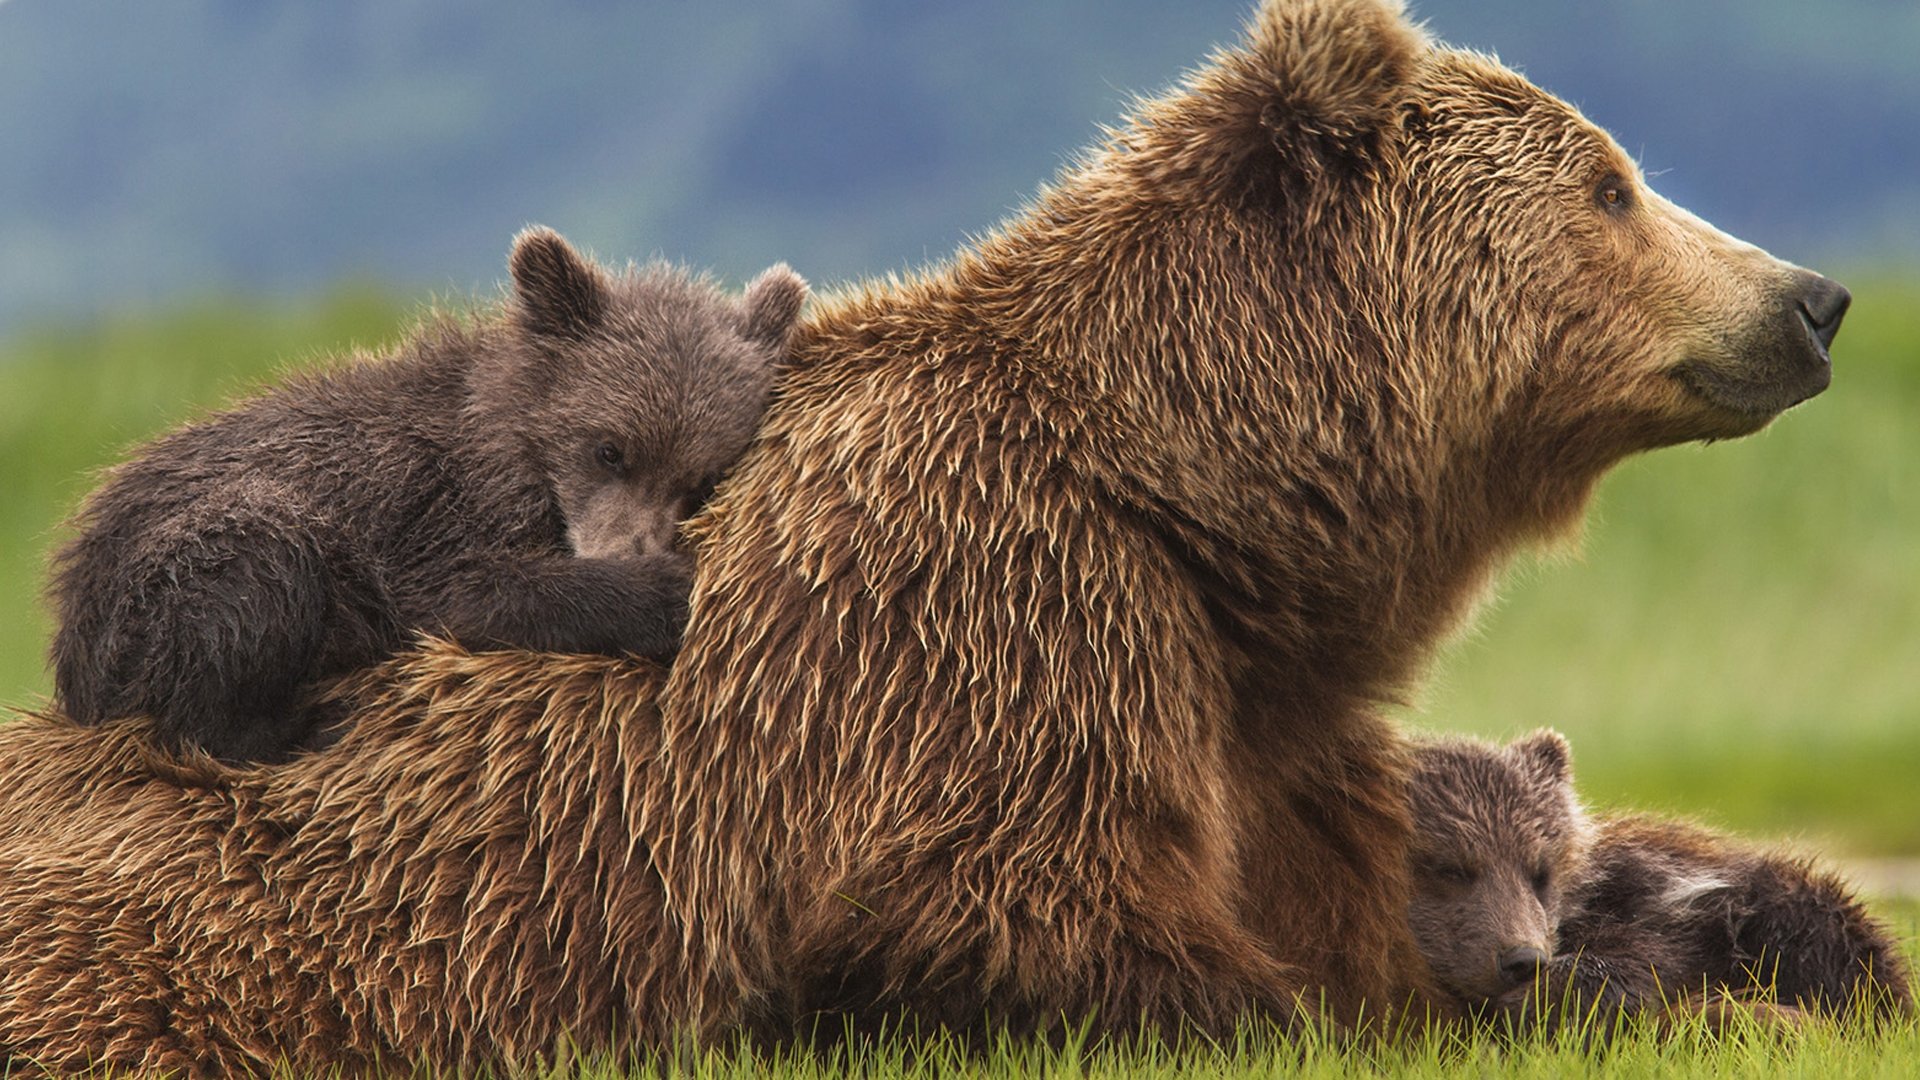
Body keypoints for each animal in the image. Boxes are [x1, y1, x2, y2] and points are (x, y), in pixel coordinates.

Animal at [46, 227, 806, 763]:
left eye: (699, 479)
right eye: (610, 448)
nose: (630, 549)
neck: (511, 446)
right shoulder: (426, 510)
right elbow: (465, 594)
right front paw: (662, 592)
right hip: (167, 581)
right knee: (254, 573)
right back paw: (307, 722)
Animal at [1404, 732, 1912, 1026]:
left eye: (1540, 870)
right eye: (1450, 867)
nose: (1523, 959)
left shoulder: (1669, 902)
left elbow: (1639, 959)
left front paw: (1547, 995)